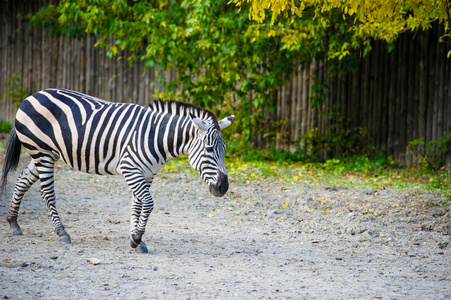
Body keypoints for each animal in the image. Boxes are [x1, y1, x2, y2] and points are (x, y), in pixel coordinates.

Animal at [0, 88, 233, 252]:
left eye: (224, 149)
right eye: (209, 149)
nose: (223, 187)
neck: (156, 136)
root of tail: (32, 96)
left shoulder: (147, 174)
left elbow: (137, 205)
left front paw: (135, 240)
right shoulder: (130, 169)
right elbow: (148, 203)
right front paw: (137, 238)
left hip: (47, 153)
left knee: (22, 180)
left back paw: (13, 223)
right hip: (42, 152)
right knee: (47, 192)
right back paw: (61, 233)